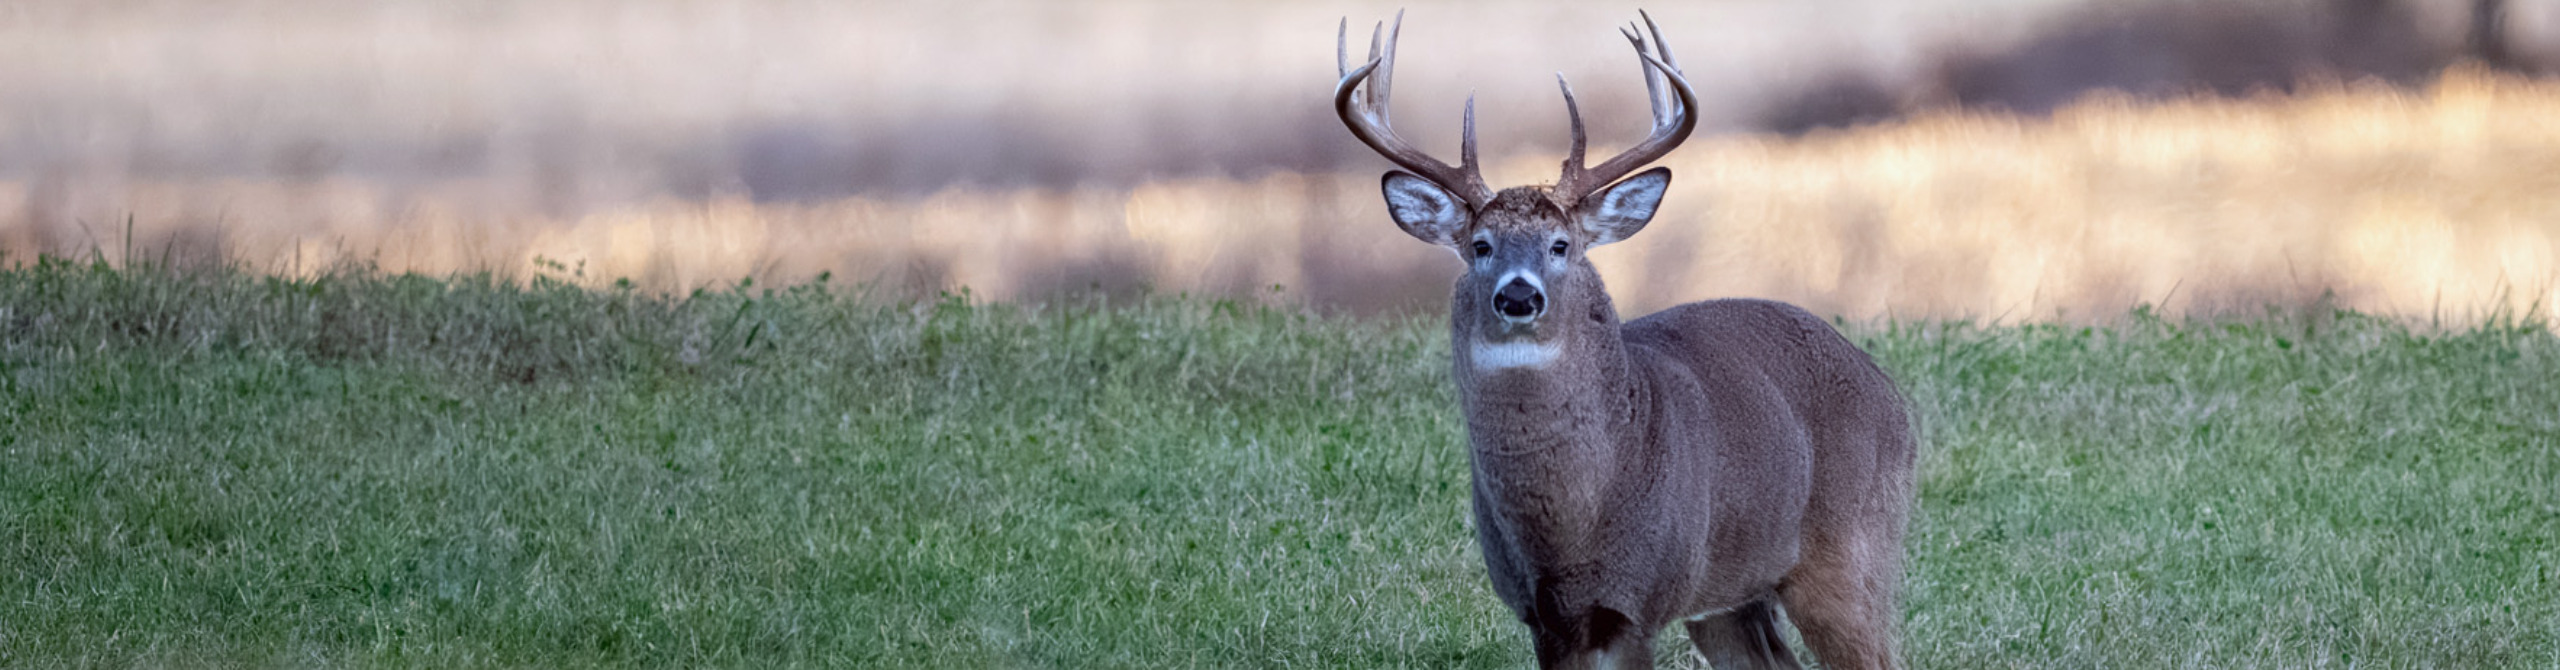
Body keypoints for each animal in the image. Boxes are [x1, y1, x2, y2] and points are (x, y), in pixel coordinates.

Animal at [1334, 11, 1918, 670]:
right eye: (1481, 245)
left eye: (1561, 245)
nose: (1518, 295)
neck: (1571, 525)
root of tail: (1893, 396)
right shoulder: (1543, 616)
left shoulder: (1638, 602)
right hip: (1729, 597)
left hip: (1850, 550)